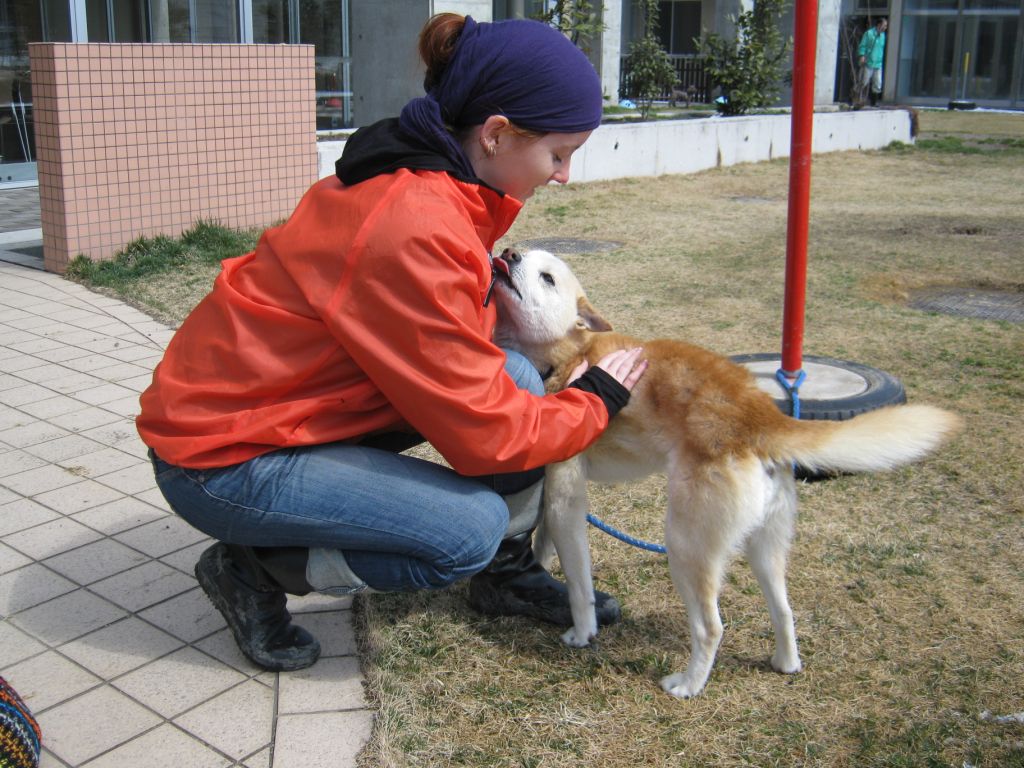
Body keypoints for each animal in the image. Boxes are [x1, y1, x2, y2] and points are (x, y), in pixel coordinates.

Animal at [489, 249, 958, 700]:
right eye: (524, 253)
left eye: (548, 277)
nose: (507, 252)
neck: (569, 353)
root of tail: (760, 414)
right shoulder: (554, 500)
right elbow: (544, 545)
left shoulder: (566, 499)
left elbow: (579, 583)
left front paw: (582, 631)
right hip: (765, 545)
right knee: (784, 609)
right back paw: (785, 663)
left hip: (685, 545)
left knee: (711, 627)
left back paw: (688, 685)